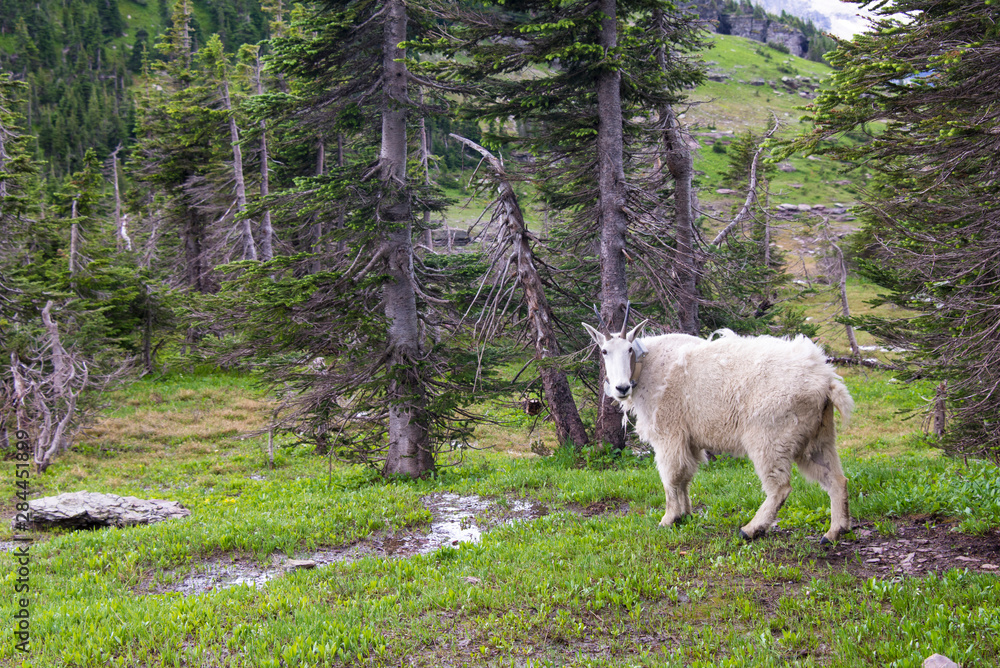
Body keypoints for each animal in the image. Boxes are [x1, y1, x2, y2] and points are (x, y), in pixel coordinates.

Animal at [583, 319, 854, 543]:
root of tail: (826, 379)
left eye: (629, 349)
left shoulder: (669, 434)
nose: (621, 388)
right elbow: (685, 476)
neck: (648, 367)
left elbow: (670, 477)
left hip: (770, 438)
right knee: (836, 479)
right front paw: (685, 515)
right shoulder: (689, 439)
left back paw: (750, 529)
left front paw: (668, 519)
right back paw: (834, 531)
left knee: (780, 488)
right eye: (604, 351)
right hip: (817, 437)